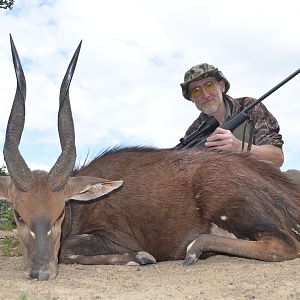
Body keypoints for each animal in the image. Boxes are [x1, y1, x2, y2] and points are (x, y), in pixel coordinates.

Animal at [0, 36, 300, 280]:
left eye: (60, 212)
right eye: (18, 214)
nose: (40, 272)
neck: (83, 206)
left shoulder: (115, 237)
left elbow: (68, 250)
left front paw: (141, 258)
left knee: (283, 245)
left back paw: (195, 249)